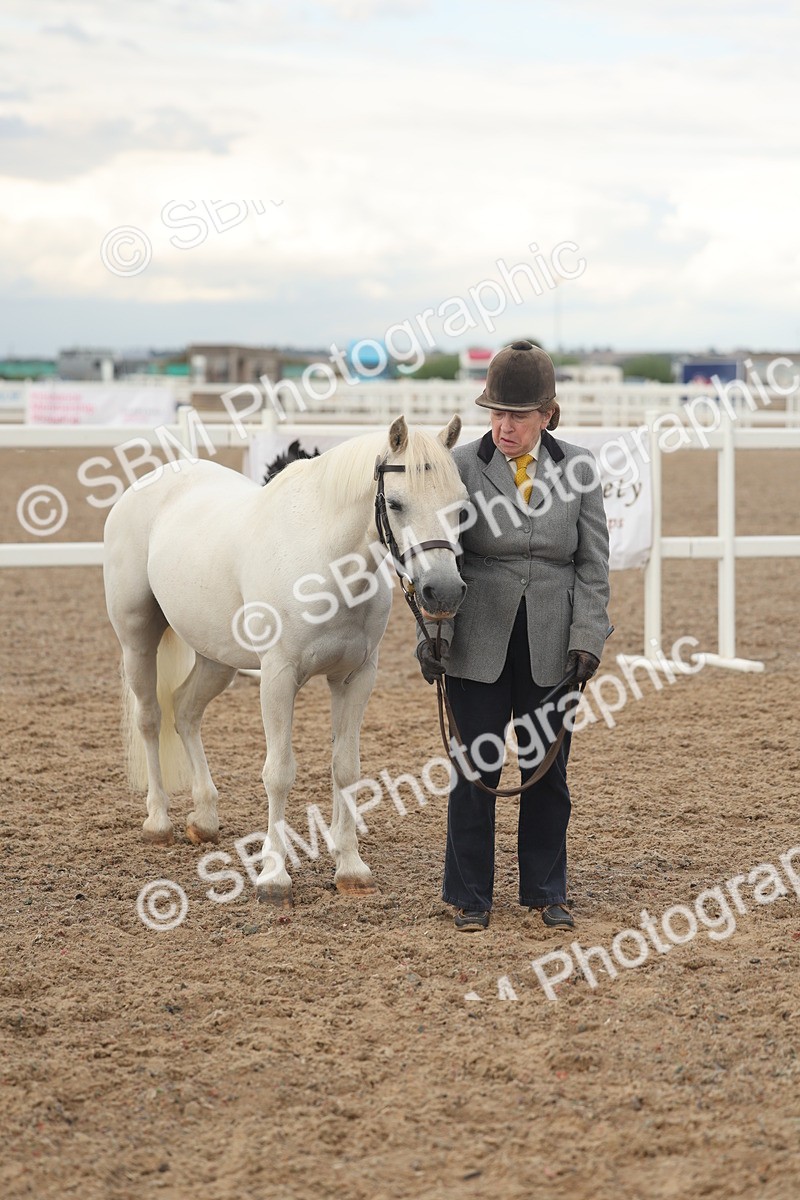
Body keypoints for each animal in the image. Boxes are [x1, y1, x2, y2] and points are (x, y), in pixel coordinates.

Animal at [103, 415, 467, 905]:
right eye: (395, 502)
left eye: (461, 505)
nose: (442, 593)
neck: (326, 562)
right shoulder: (277, 677)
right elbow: (279, 773)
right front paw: (273, 876)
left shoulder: (355, 678)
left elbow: (346, 768)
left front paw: (350, 866)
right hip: (138, 640)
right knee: (150, 718)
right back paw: (159, 821)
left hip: (216, 660)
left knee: (185, 712)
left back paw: (204, 819)